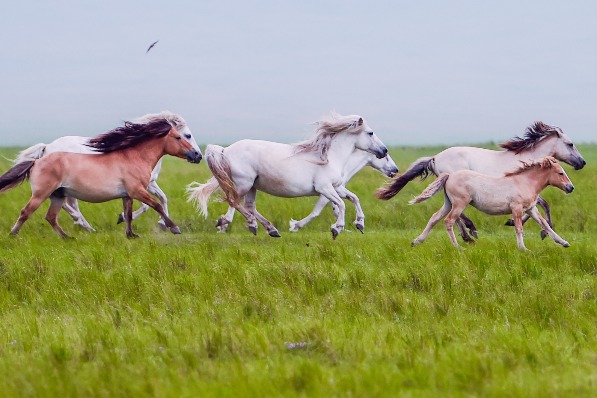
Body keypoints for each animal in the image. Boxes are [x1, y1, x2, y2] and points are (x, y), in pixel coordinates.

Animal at [0, 117, 201, 236]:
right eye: (181, 137)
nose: (197, 155)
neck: (134, 157)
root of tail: (38, 160)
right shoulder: (138, 190)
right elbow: (156, 204)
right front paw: (174, 228)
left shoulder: (128, 195)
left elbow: (130, 213)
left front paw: (130, 234)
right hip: (42, 194)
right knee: (27, 212)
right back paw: (13, 234)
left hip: (58, 195)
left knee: (51, 217)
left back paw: (68, 236)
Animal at [189, 151, 398, 235]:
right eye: (385, 155)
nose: (395, 170)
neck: (341, 162)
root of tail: (225, 151)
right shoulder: (325, 191)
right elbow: (319, 211)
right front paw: (296, 225)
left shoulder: (337, 189)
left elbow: (348, 201)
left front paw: (347, 226)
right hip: (245, 184)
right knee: (235, 201)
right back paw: (226, 223)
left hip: (251, 186)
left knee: (248, 206)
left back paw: (267, 227)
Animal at [374, 120, 584, 239]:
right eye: (570, 144)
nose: (582, 162)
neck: (527, 159)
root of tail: (435, 158)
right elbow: (545, 204)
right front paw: (541, 231)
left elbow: (539, 206)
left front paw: (517, 223)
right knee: (455, 214)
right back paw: (470, 232)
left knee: (451, 213)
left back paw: (467, 235)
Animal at [410, 157, 572, 250]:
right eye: (560, 173)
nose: (571, 188)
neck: (525, 182)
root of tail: (450, 175)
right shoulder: (517, 208)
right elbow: (519, 228)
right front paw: (523, 249)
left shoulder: (531, 209)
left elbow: (545, 224)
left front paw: (564, 242)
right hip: (459, 204)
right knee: (449, 221)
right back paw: (458, 247)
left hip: (449, 203)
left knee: (434, 218)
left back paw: (416, 241)